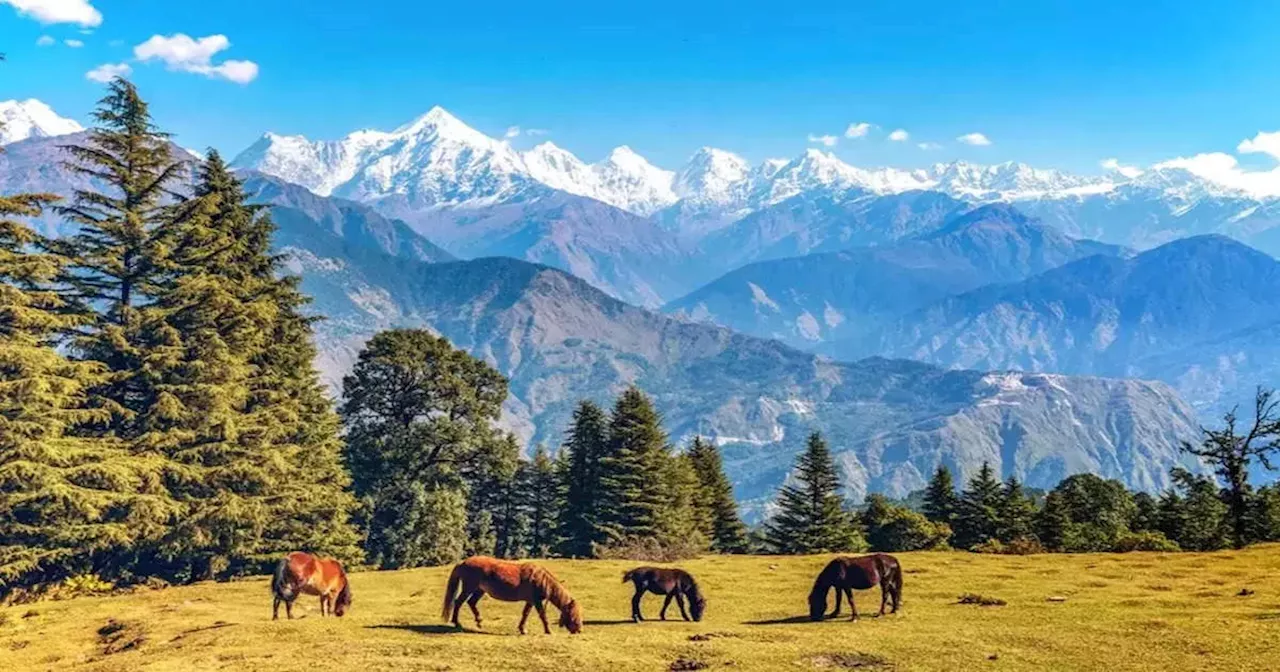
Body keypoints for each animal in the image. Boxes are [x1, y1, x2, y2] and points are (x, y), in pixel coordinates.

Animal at [437, 555, 583, 634]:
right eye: (573, 614)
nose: (579, 630)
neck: (541, 580)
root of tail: (463, 562)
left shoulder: (530, 601)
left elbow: (525, 614)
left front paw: (522, 629)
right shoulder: (536, 601)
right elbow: (542, 615)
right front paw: (548, 631)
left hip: (479, 590)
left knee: (471, 602)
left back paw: (479, 621)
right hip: (469, 587)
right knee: (458, 602)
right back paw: (457, 623)